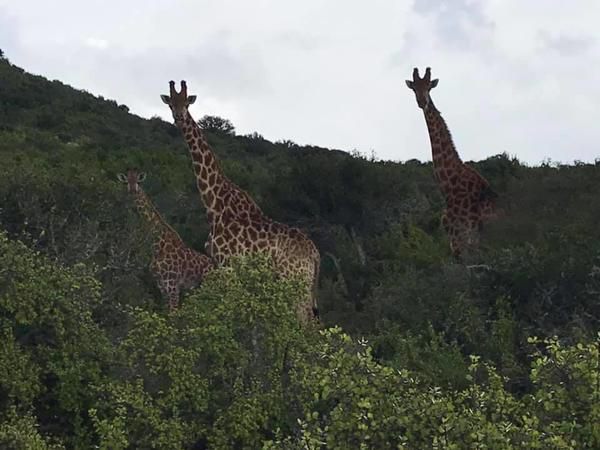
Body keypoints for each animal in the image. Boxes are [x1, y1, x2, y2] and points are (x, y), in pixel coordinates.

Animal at [117, 167, 213, 312]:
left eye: (138, 181)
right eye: (126, 181)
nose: (133, 191)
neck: (157, 246)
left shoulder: (172, 285)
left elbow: (173, 314)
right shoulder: (161, 286)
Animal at [158, 80, 318, 320]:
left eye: (186, 103)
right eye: (171, 104)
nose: (178, 117)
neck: (213, 204)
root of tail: (315, 254)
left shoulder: (228, 265)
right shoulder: (220, 265)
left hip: (294, 279)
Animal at [406, 67, 500, 256]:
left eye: (429, 87)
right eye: (414, 88)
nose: (422, 102)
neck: (449, 187)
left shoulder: (461, 239)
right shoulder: (456, 241)